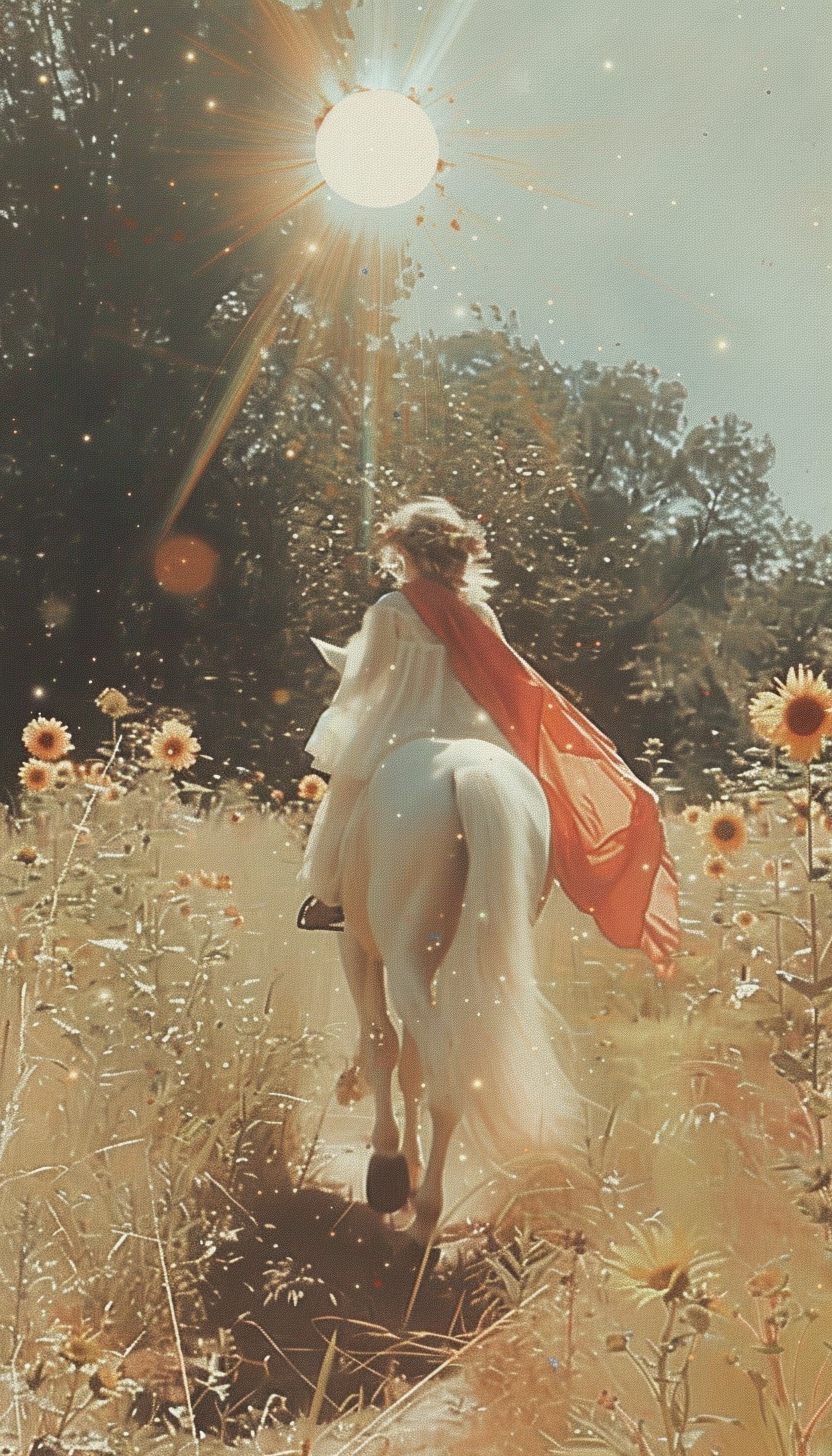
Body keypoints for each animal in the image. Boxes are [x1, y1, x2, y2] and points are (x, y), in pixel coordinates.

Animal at [316, 643, 582, 1246]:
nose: (344, 1087)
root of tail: (471, 774)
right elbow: (409, 1062)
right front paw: (408, 1164)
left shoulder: (360, 949)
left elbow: (382, 1043)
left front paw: (390, 1168)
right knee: (441, 1065)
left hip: (398, 956)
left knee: (448, 1078)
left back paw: (424, 1219)